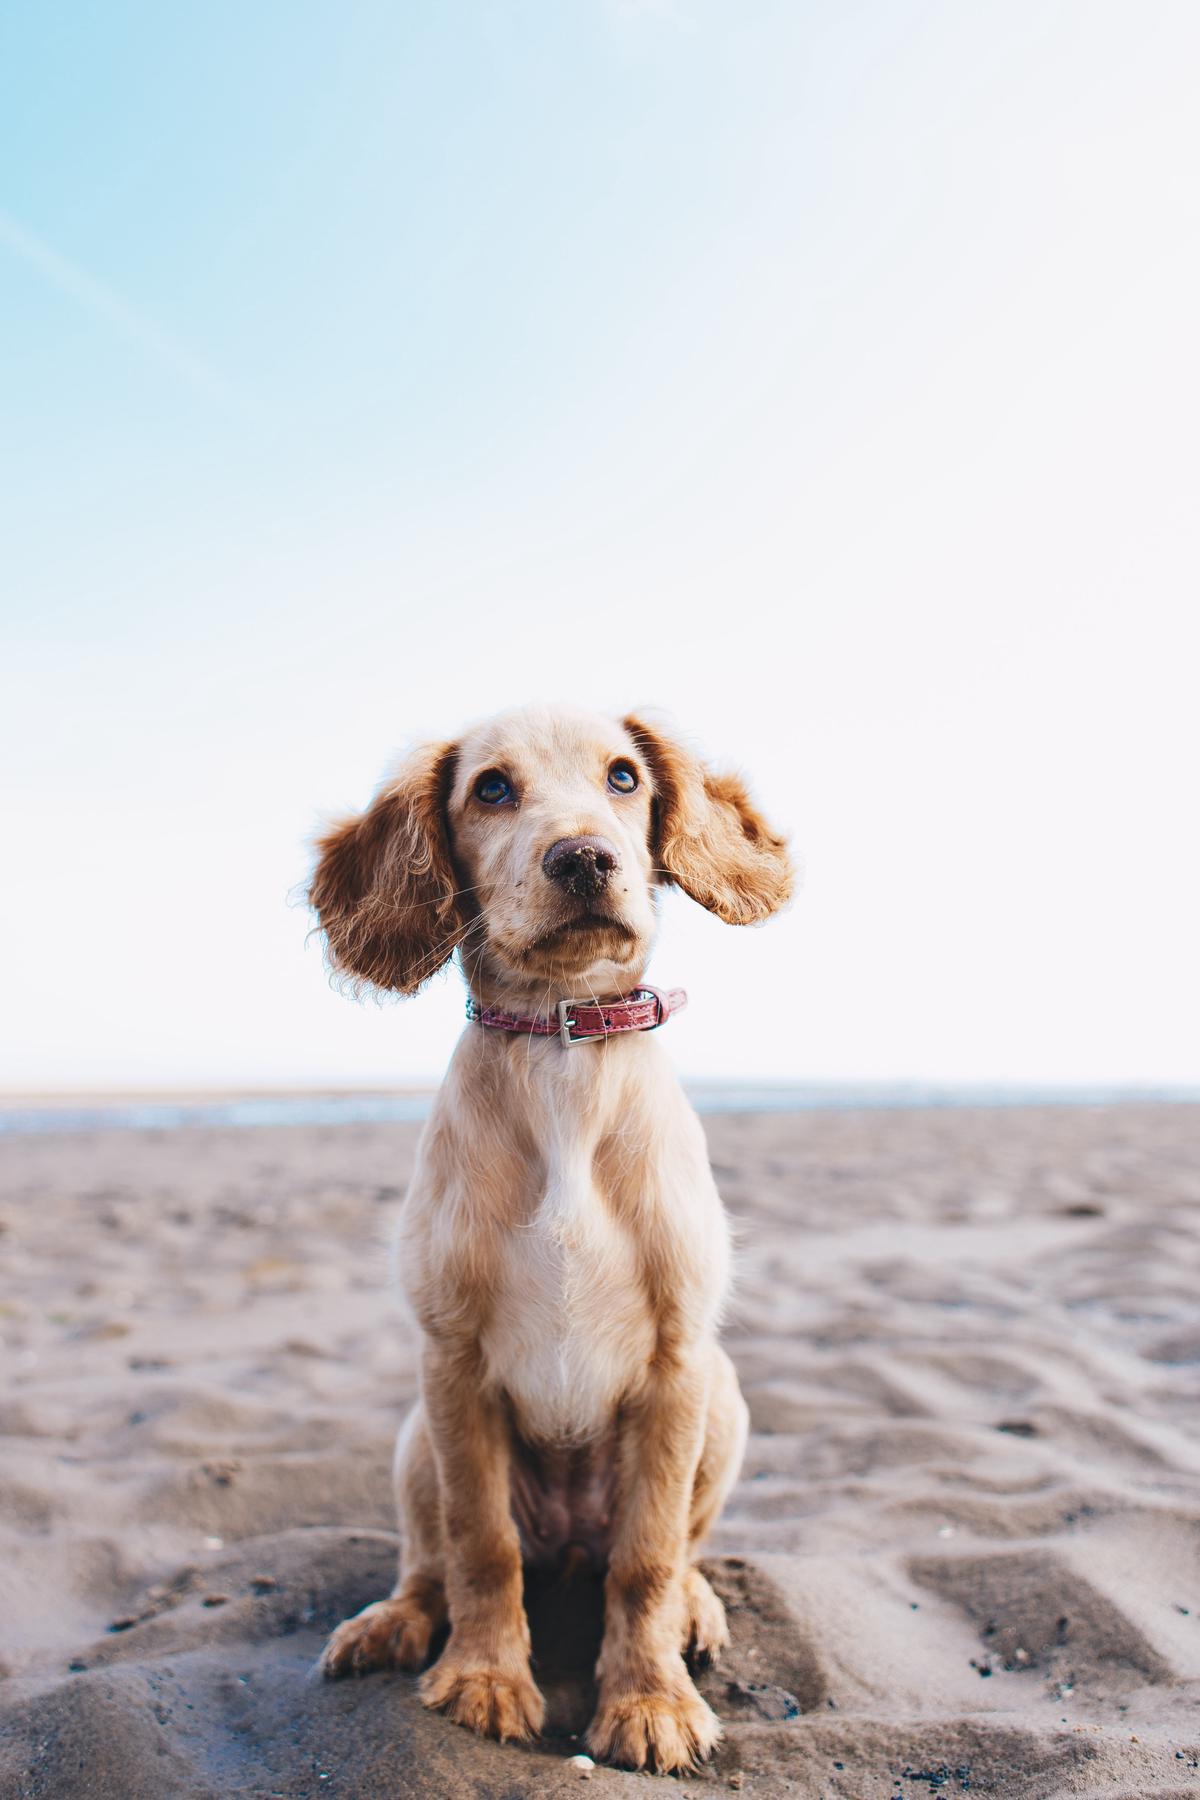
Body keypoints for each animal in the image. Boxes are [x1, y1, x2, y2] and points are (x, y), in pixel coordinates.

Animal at [314, 705, 791, 1771]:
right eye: (491, 789)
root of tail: (569, 1543)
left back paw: (695, 1609)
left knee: (673, 1551)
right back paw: (393, 1621)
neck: (561, 1050)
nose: (583, 859)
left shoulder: (678, 1364)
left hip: (726, 1402)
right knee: (431, 1559)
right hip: (416, 1436)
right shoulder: (451, 1361)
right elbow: (480, 1543)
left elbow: (647, 1558)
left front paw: (649, 1701)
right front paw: (485, 1678)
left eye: (623, 777)